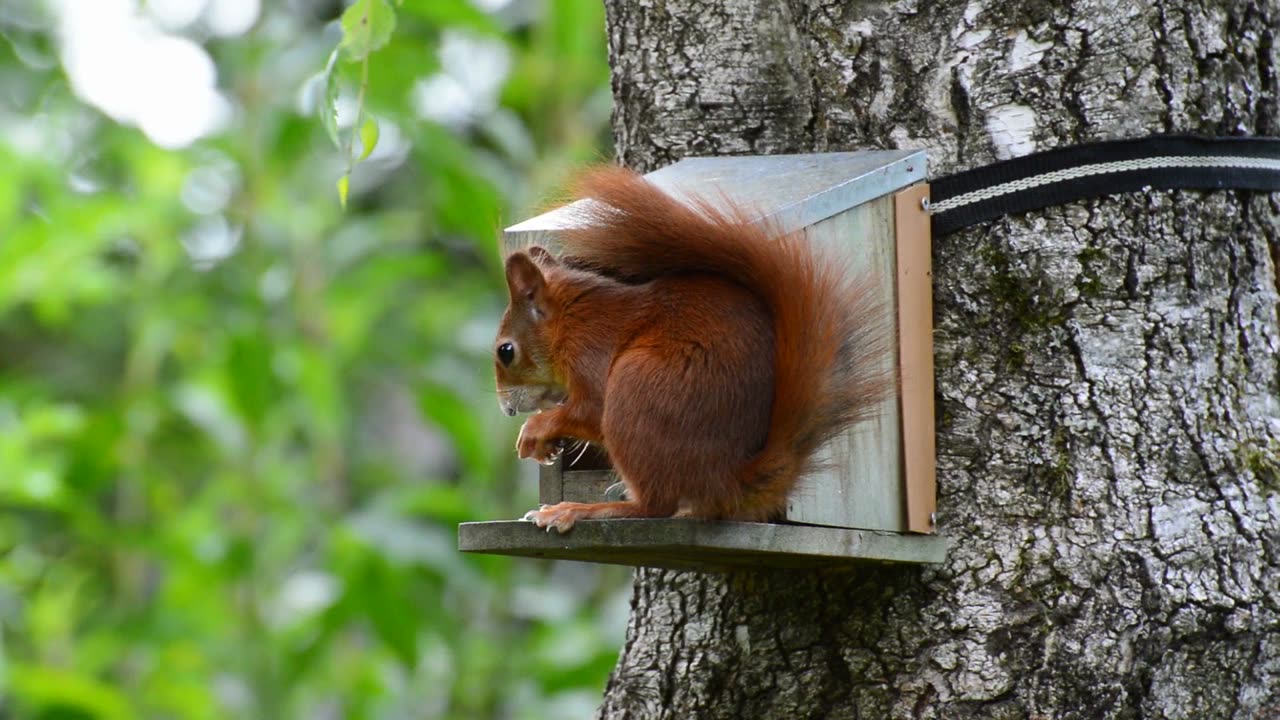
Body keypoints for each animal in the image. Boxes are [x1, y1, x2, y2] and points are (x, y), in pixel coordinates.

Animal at [488, 165, 890, 530]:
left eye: (506, 351)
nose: (507, 409)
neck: (570, 320)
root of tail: (727, 480)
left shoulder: (591, 351)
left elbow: (590, 410)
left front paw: (537, 430)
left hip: (636, 388)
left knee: (654, 506)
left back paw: (581, 510)